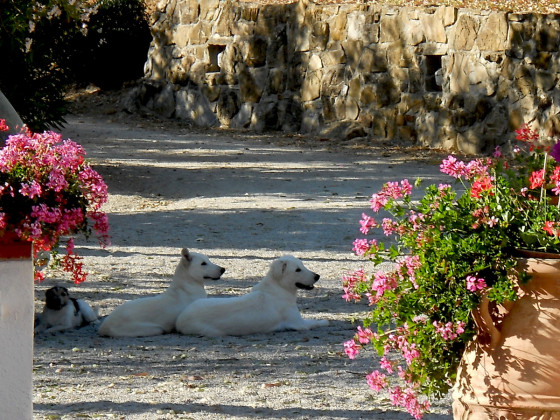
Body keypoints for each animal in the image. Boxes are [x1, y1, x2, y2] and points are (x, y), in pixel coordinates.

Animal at [176, 254, 328, 336]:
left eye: (302, 265)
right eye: (297, 270)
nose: (317, 276)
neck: (279, 288)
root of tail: (180, 320)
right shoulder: (298, 323)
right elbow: (314, 321)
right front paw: (324, 321)